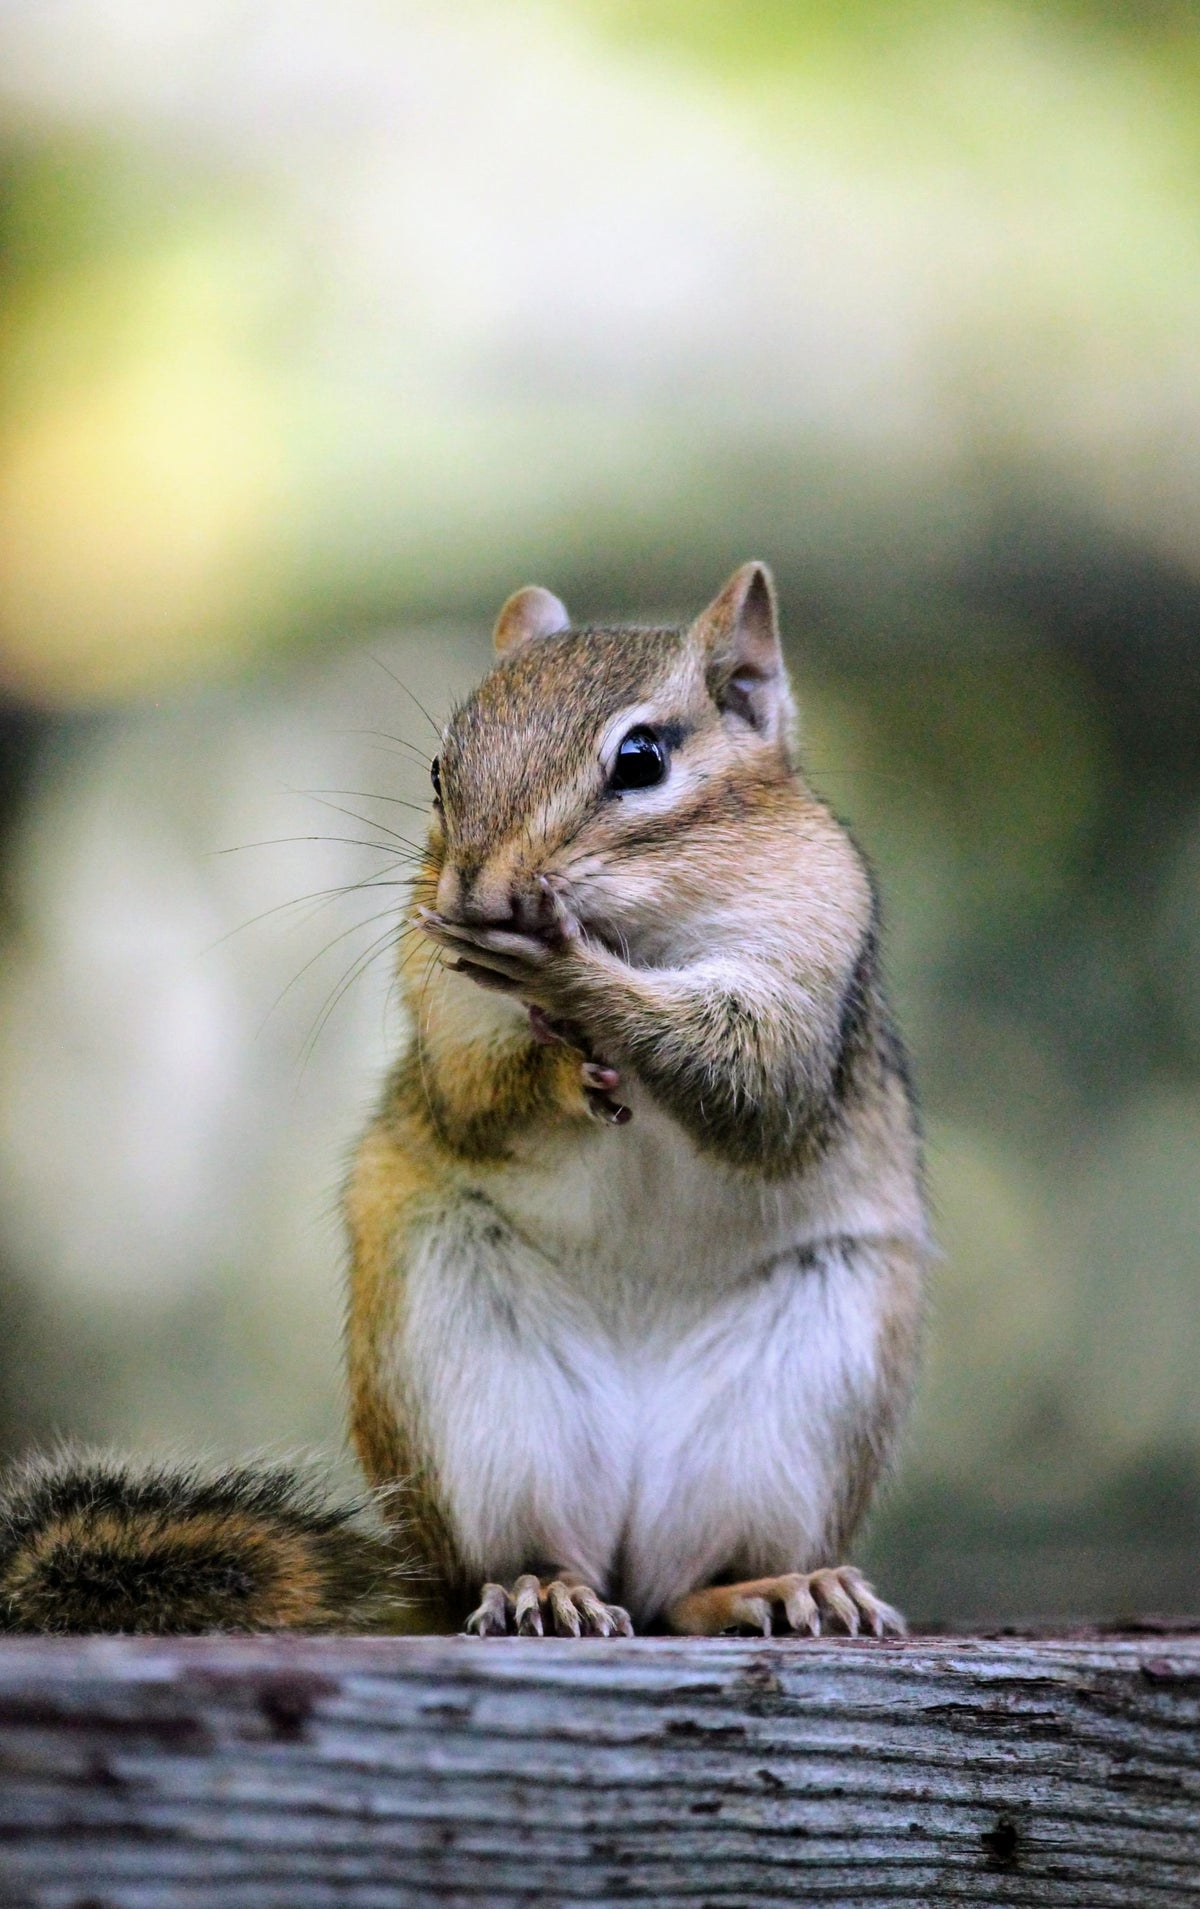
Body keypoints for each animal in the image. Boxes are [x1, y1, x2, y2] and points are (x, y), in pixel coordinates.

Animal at [0, 562, 929, 1639]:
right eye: (442, 770)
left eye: (642, 758)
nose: (475, 893)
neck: (644, 932)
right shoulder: (444, 1007)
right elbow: (476, 1093)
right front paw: (560, 1058)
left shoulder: (810, 958)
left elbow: (759, 1082)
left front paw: (573, 973)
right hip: (463, 1379)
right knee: (531, 1559)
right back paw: (546, 1589)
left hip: (802, 1399)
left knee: (687, 1588)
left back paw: (775, 1585)